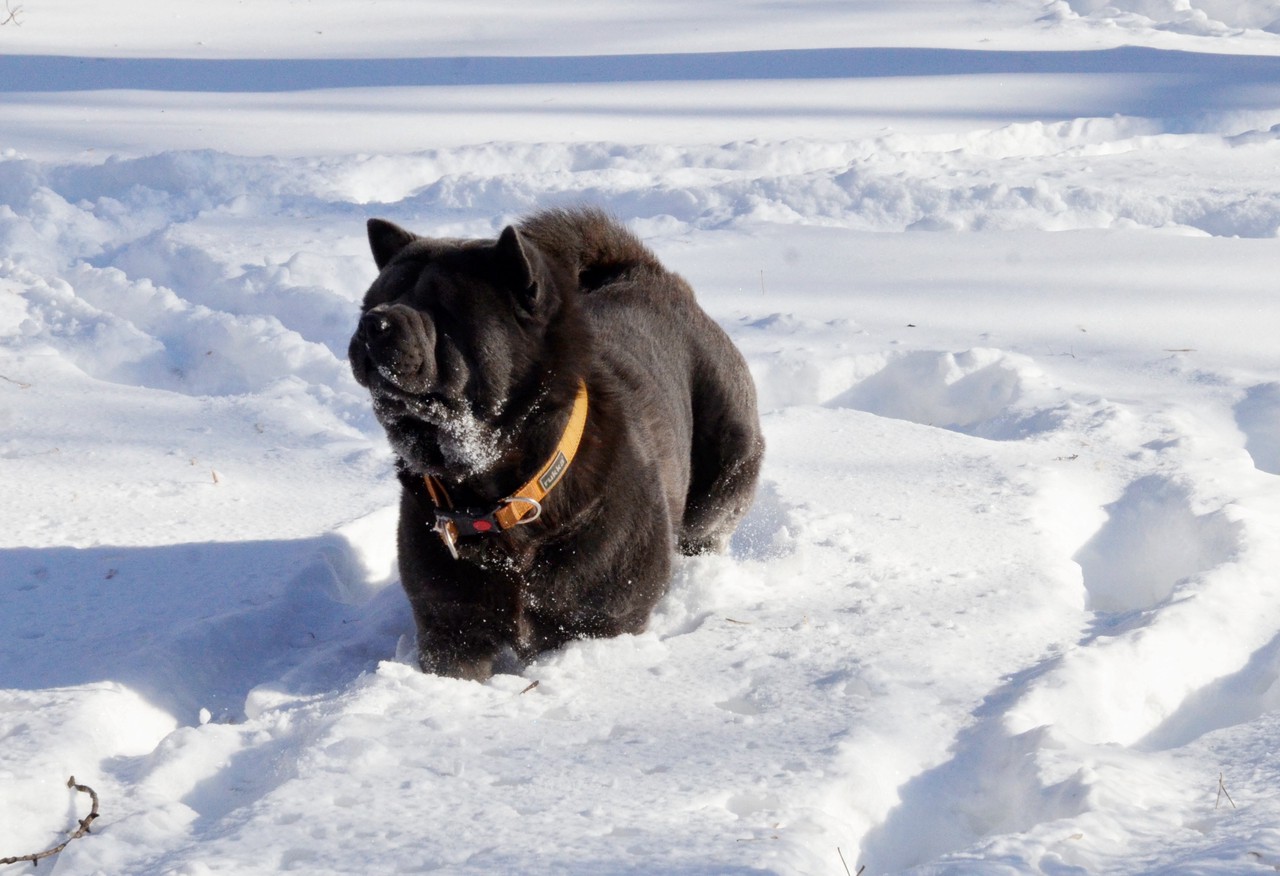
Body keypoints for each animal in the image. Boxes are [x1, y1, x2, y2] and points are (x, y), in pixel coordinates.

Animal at [348, 208, 757, 681]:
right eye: (372, 300)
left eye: (443, 307)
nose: (373, 321)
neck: (495, 494)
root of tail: (654, 276)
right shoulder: (450, 629)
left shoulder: (599, 619)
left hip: (722, 476)